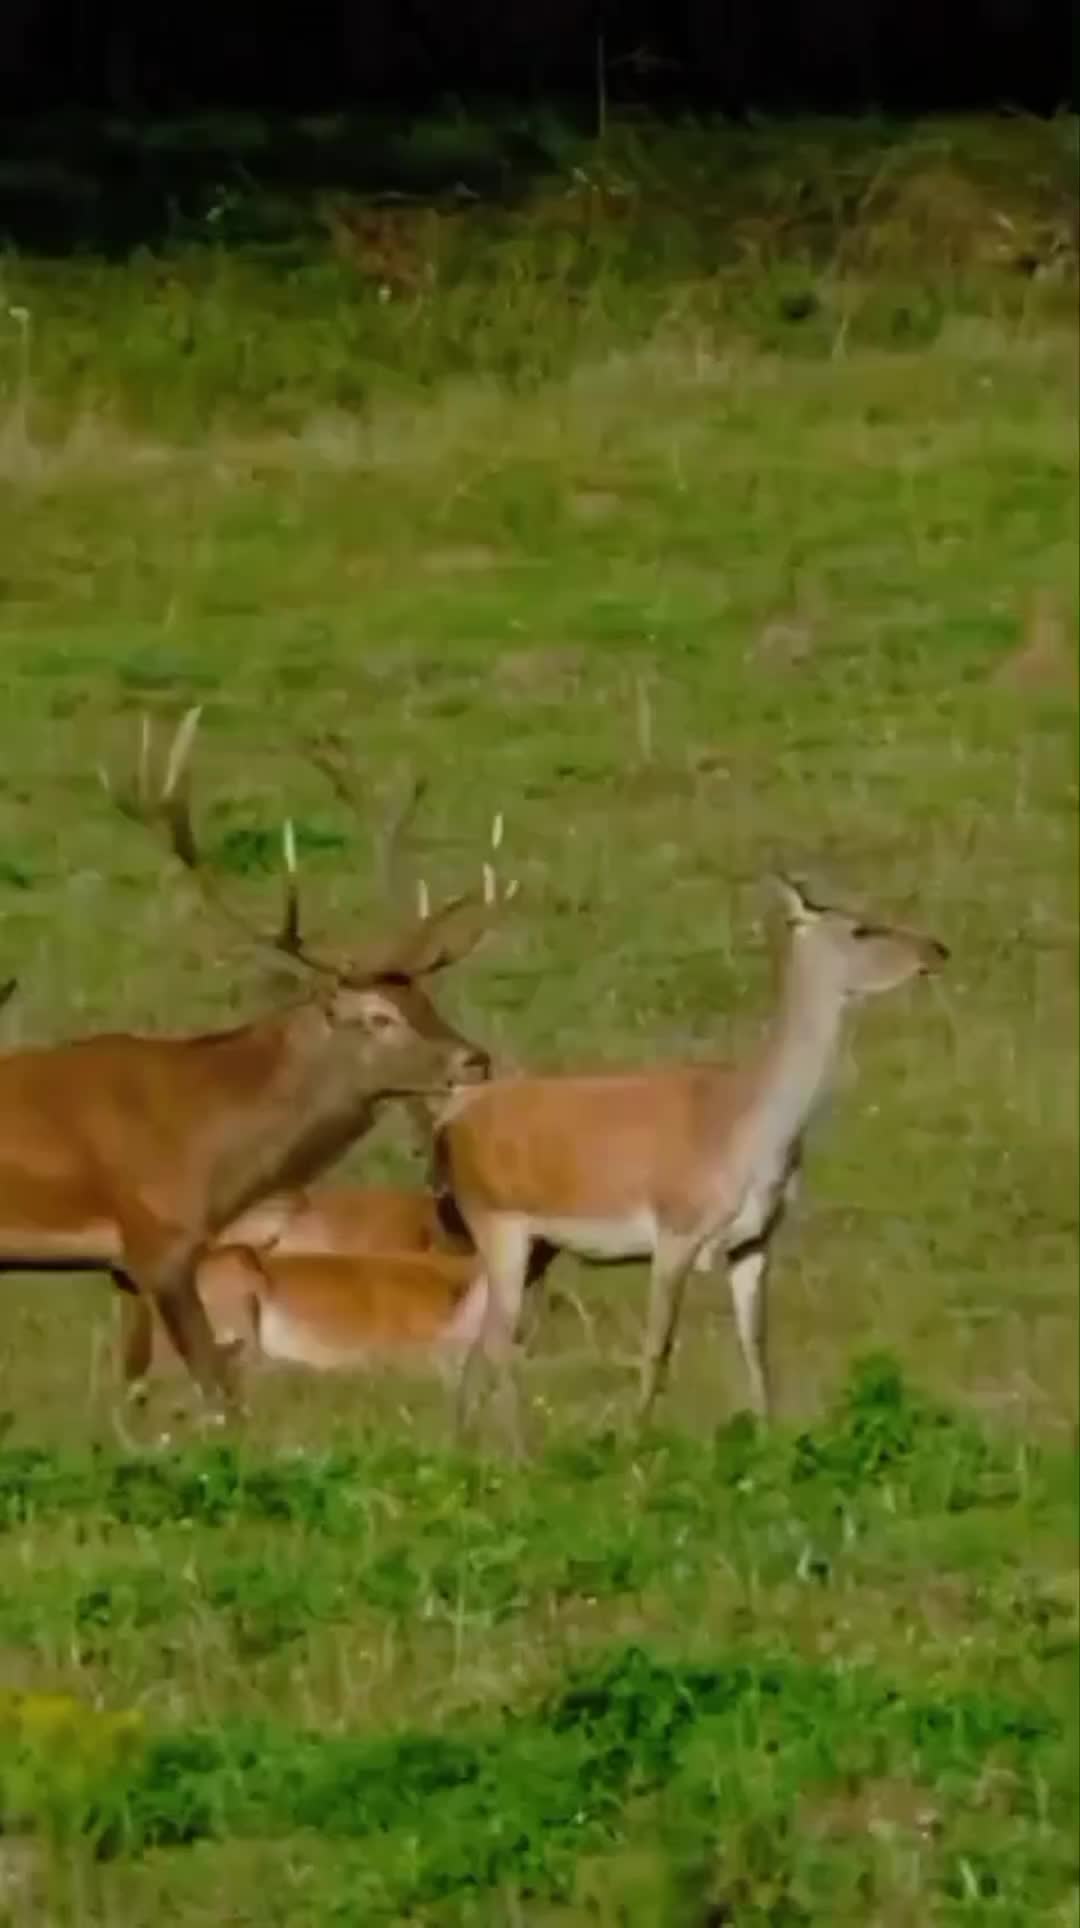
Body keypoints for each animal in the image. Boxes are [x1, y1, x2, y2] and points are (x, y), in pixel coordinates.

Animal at [0, 709, 514, 1428]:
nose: (475, 1059)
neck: (203, 1141)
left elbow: (134, 1389)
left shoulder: (124, 1269)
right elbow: (221, 1393)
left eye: (424, 999)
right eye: (377, 1015)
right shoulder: (160, 1245)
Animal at [438, 876, 948, 1444]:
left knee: (470, 1338)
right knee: (497, 1341)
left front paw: (769, 1437)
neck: (746, 1130)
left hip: (531, 1247)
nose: (936, 951)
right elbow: (658, 1347)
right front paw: (637, 1441)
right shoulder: (676, 1235)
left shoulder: (753, 1241)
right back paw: (520, 1450)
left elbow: (756, 1348)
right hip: (499, 1229)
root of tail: (451, 1122)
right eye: (860, 928)